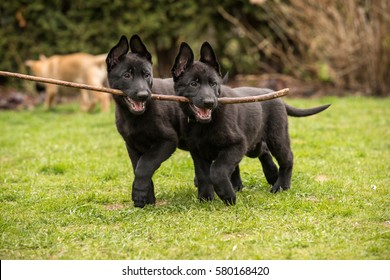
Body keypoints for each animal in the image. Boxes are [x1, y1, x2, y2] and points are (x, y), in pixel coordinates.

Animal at [105, 34, 187, 208]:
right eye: (126, 75)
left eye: (147, 75)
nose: (143, 95)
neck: (135, 117)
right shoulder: (131, 145)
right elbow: (138, 167)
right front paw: (146, 199)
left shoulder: (167, 140)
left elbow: (145, 164)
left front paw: (139, 192)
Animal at [171, 41, 330, 205]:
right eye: (193, 83)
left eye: (213, 84)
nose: (210, 102)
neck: (205, 123)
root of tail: (275, 95)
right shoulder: (197, 151)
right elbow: (203, 174)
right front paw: (206, 197)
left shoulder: (237, 145)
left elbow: (217, 170)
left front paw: (227, 195)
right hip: (255, 143)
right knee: (264, 151)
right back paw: (271, 175)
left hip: (277, 137)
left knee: (287, 158)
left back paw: (281, 186)